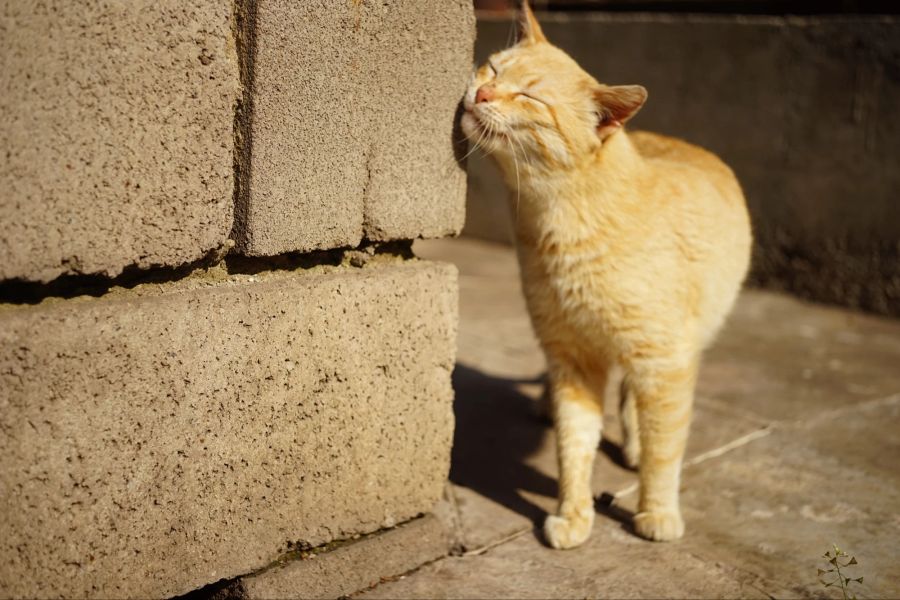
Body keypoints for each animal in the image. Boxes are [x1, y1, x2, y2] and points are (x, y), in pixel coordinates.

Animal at [464, 3, 752, 548]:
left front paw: (656, 510)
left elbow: (664, 449)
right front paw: (574, 514)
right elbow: (573, 444)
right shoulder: (571, 357)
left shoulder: (664, 361)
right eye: (491, 69)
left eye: (529, 94)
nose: (481, 94)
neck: (557, 227)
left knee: (638, 404)